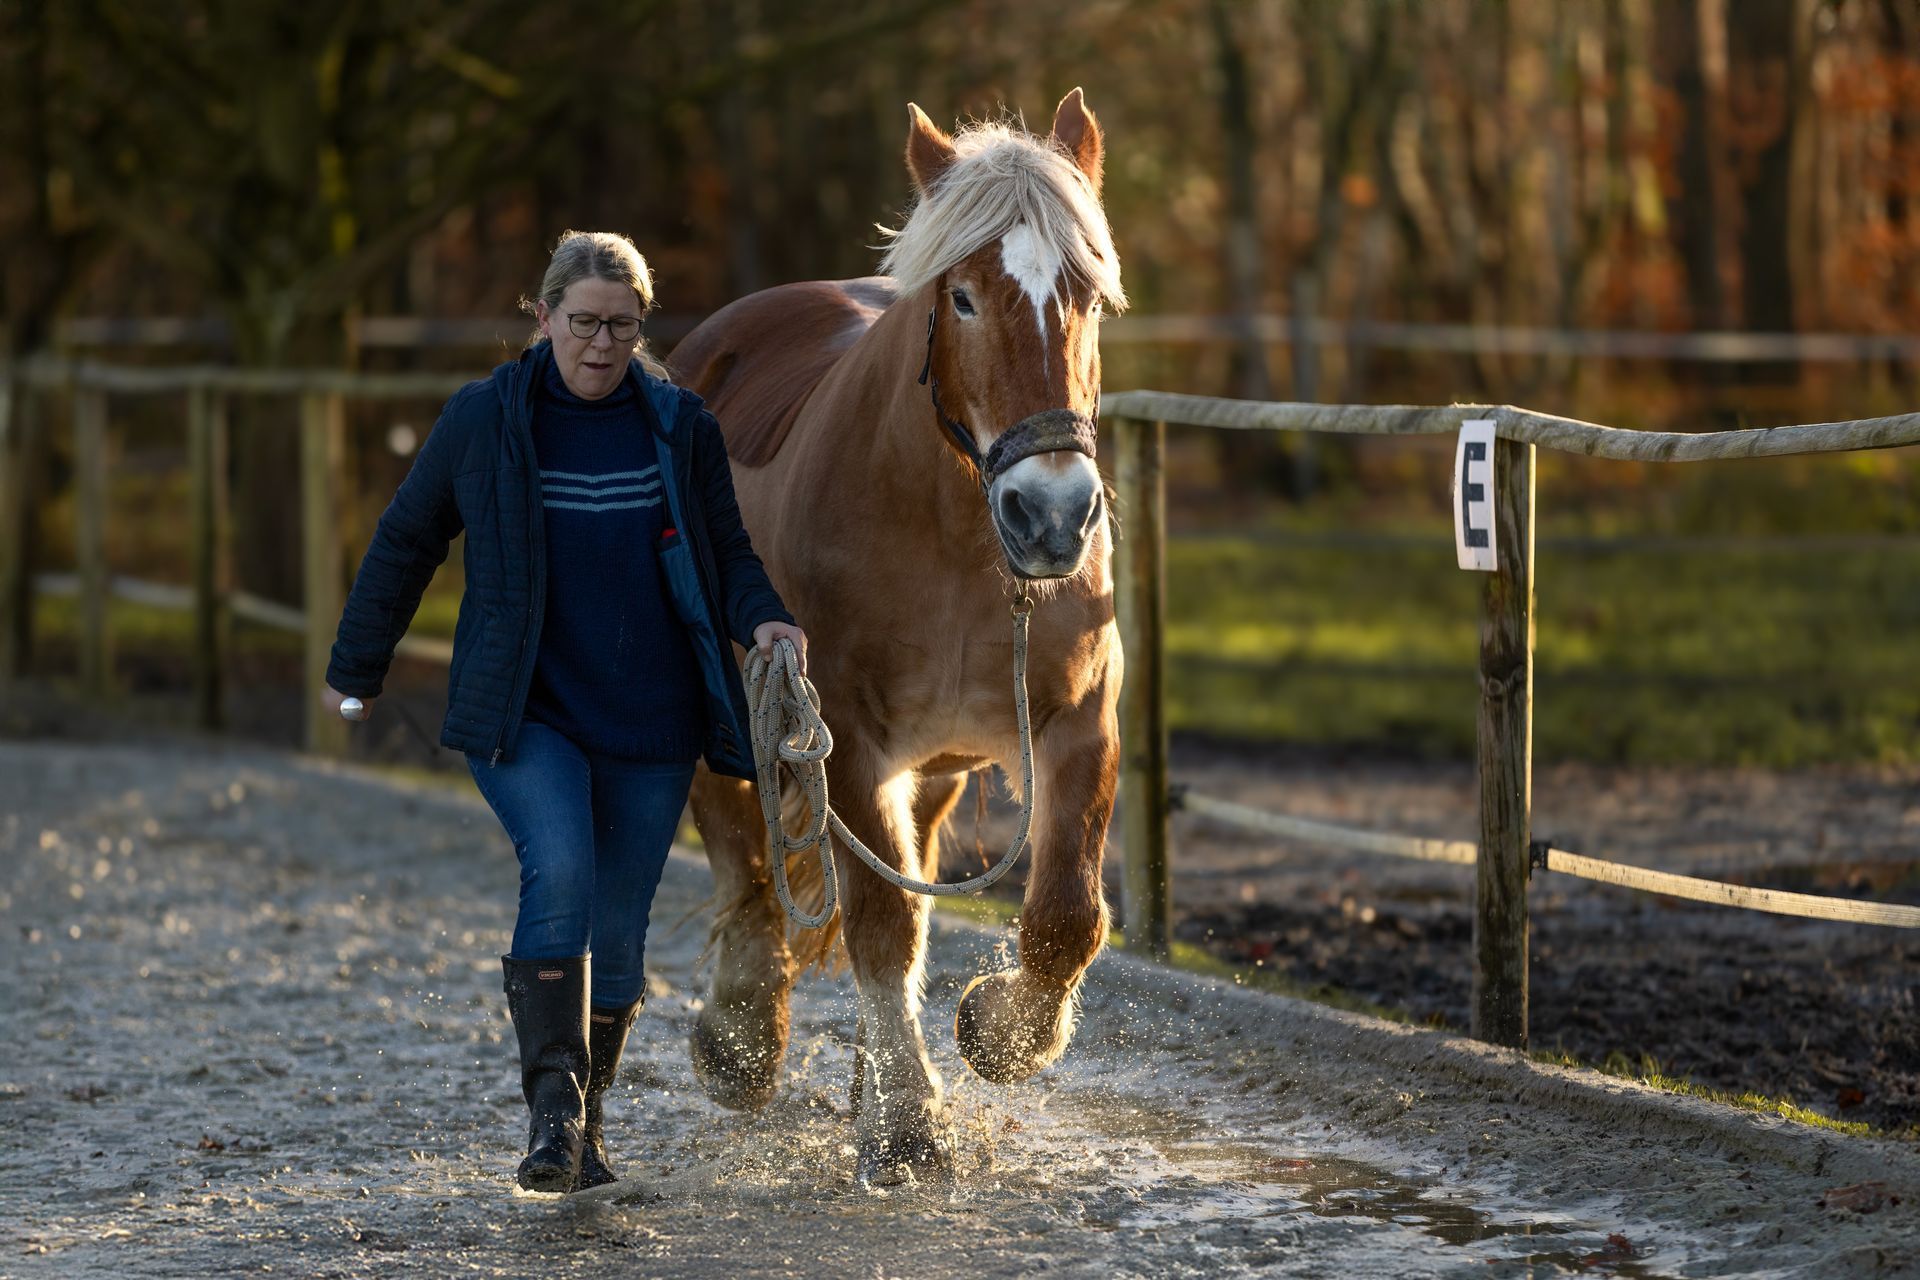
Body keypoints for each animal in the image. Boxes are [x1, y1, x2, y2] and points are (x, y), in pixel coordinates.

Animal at [669, 89, 1125, 1184]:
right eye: (961, 298)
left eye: (1087, 297)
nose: (1052, 516)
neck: (956, 540)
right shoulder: (842, 735)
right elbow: (880, 923)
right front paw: (909, 1127)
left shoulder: (1079, 718)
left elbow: (1064, 915)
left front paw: (994, 1033)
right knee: (747, 867)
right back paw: (740, 1037)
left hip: (935, 766)